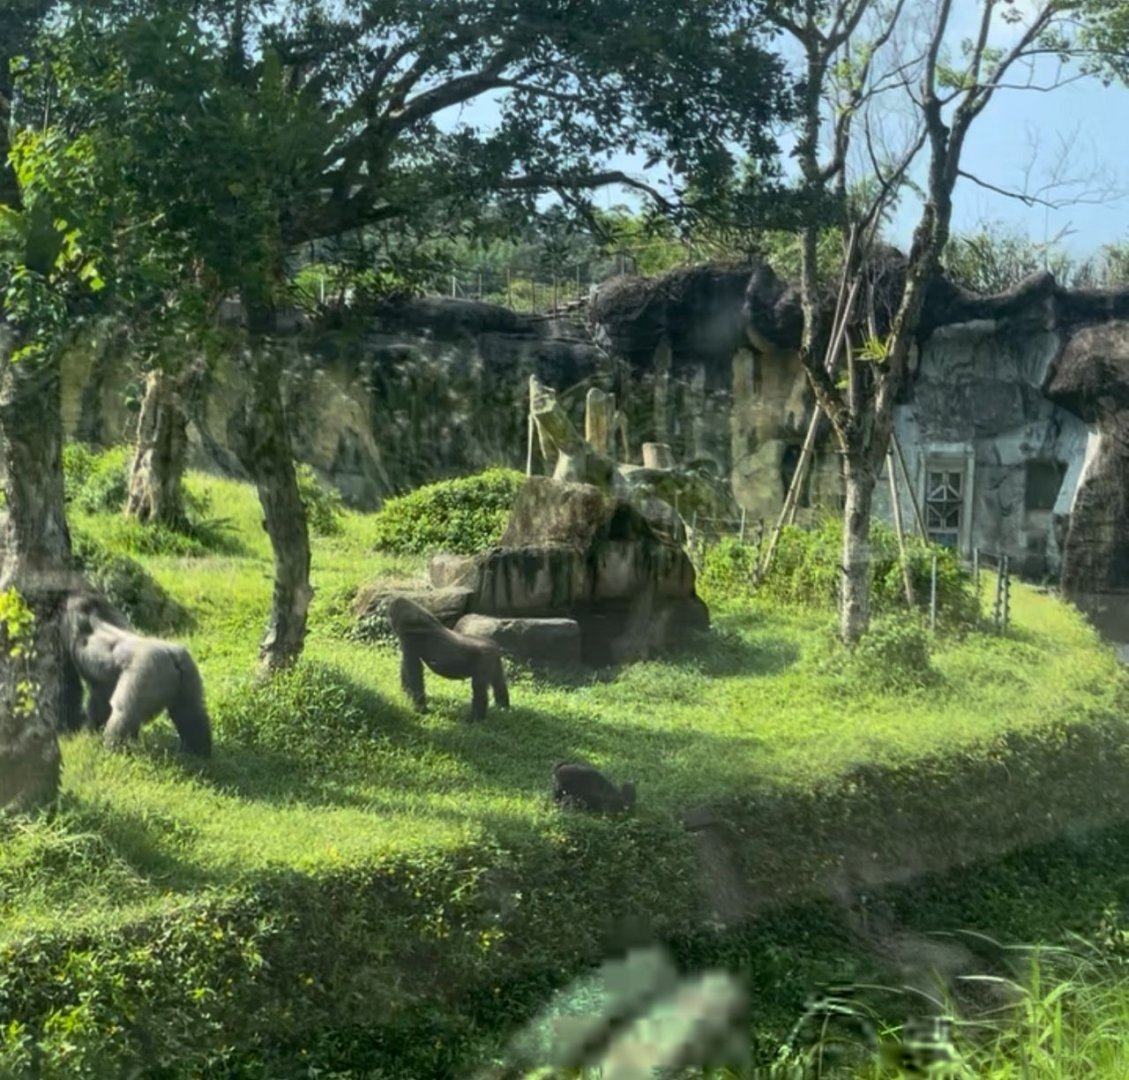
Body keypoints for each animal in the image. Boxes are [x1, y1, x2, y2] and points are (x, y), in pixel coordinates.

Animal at [59, 589, 213, 757]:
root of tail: (173, 656)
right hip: (188, 667)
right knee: (191, 711)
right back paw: (199, 752)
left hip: (148, 669)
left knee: (124, 714)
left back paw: (113, 751)